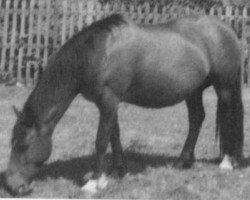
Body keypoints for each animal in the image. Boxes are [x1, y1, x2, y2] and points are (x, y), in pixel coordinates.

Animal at [2, 13, 243, 195]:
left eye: (23, 146)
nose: (13, 186)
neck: (98, 53)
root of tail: (226, 29)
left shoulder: (108, 100)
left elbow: (101, 140)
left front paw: (93, 182)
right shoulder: (109, 103)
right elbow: (114, 136)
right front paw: (117, 171)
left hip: (225, 87)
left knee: (228, 119)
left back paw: (226, 162)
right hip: (194, 91)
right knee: (196, 119)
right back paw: (183, 161)